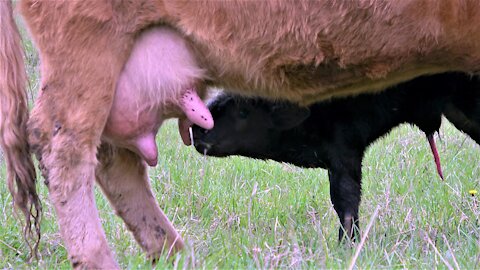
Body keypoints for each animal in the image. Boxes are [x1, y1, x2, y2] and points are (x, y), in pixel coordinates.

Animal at [0, 0, 480, 268]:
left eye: (246, 109)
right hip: (88, 46)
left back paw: (179, 257)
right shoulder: (345, 150)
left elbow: (346, 199)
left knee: (112, 156)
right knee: (63, 141)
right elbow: (346, 199)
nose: (199, 133)